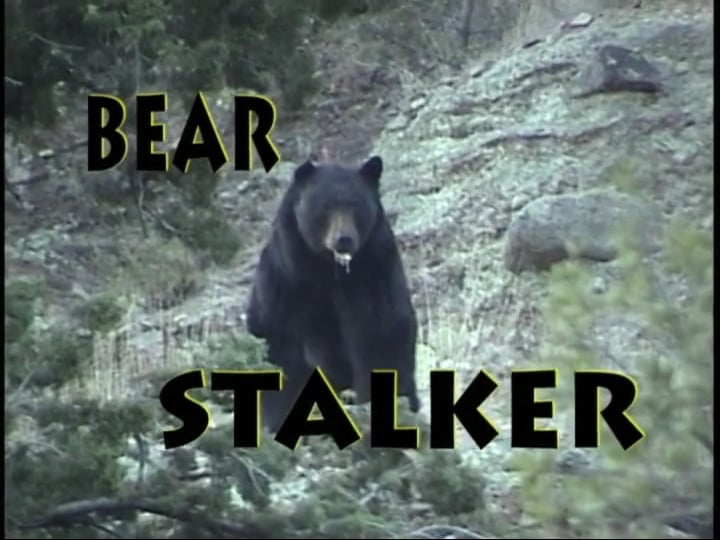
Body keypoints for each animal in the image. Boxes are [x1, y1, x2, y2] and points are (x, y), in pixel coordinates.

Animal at [245, 155, 420, 434]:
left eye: (355, 206)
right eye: (326, 207)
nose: (344, 239)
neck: (328, 270)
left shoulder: (374, 271)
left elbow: (380, 334)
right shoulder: (284, 286)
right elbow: (280, 349)